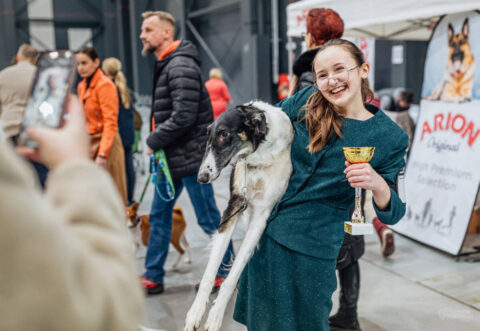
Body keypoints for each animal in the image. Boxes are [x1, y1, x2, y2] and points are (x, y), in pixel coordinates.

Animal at [186, 102, 294, 331]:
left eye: (224, 134)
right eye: (208, 137)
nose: (201, 178)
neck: (257, 158)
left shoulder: (262, 214)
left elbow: (232, 275)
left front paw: (215, 316)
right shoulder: (234, 205)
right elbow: (210, 272)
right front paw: (195, 313)